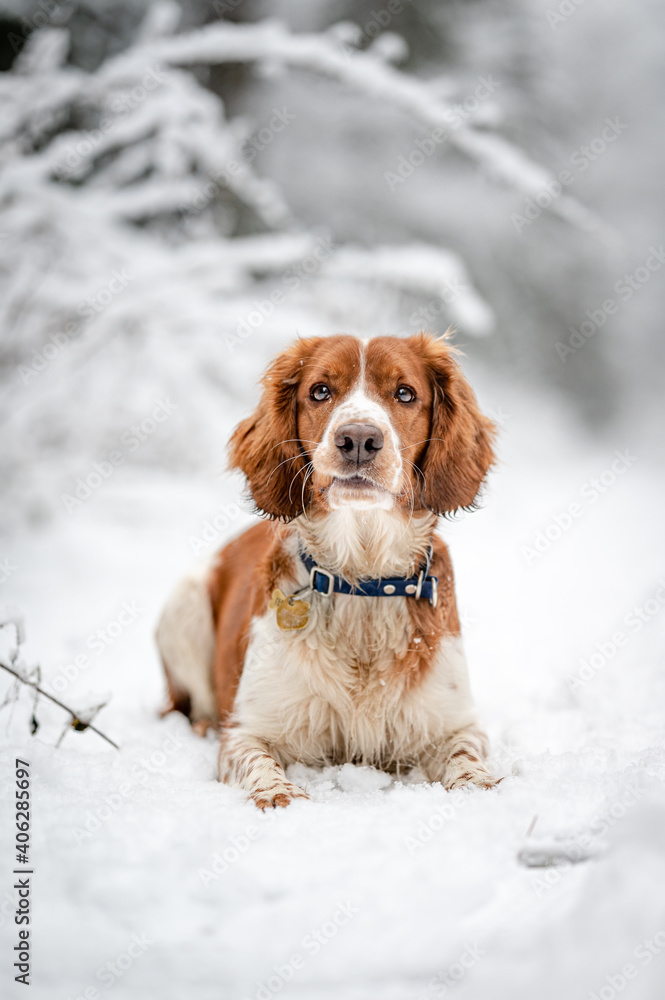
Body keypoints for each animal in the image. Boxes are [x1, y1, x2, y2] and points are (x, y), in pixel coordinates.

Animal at [156, 332, 498, 808]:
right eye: (320, 391)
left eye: (405, 393)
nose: (358, 438)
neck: (362, 581)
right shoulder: (247, 730)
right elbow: (258, 763)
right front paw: (281, 795)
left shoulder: (454, 722)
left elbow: (468, 760)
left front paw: (478, 789)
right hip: (183, 605)